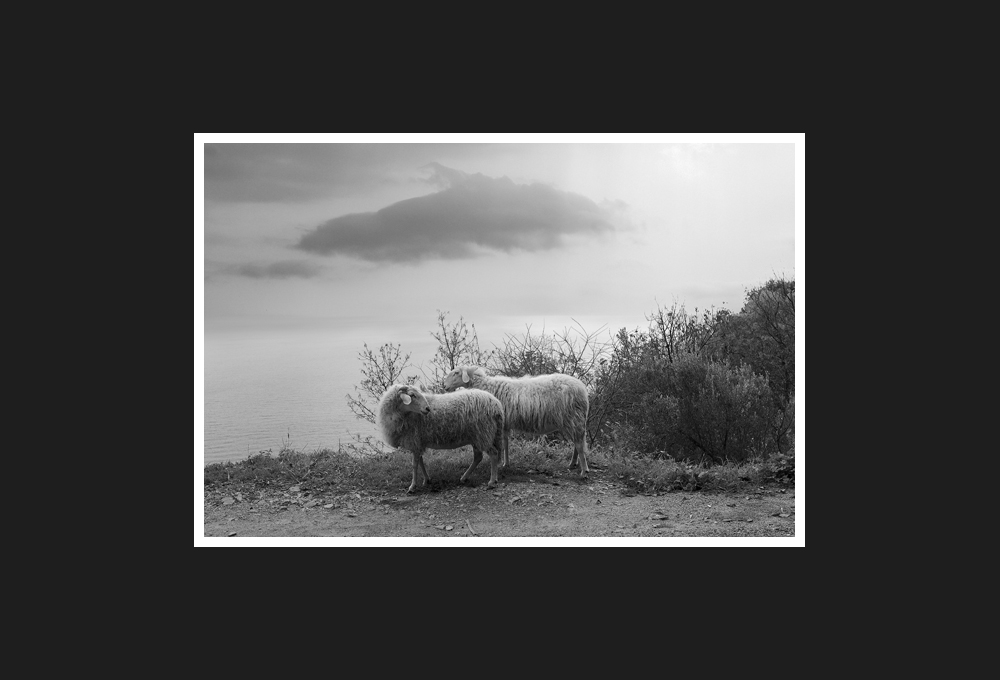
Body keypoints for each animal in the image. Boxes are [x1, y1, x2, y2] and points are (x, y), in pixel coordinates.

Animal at [376, 383, 505, 493]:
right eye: (412, 395)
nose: (427, 409)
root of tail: (496, 405)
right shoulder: (419, 442)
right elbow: (421, 462)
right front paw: (426, 480)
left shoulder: (415, 440)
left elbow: (414, 464)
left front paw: (412, 486)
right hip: (477, 436)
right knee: (478, 457)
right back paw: (465, 477)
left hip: (484, 433)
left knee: (493, 453)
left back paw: (492, 481)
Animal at [442, 366, 591, 478]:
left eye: (456, 373)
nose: (444, 386)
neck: (486, 386)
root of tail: (583, 389)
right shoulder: (504, 423)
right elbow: (506, 443)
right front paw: (505, 463)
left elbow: (501, 444)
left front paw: (499, 462)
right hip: (572, 421)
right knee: (577, 443)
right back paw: (573, 464)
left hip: (573, 418)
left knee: (579, 444)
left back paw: (584, 471)